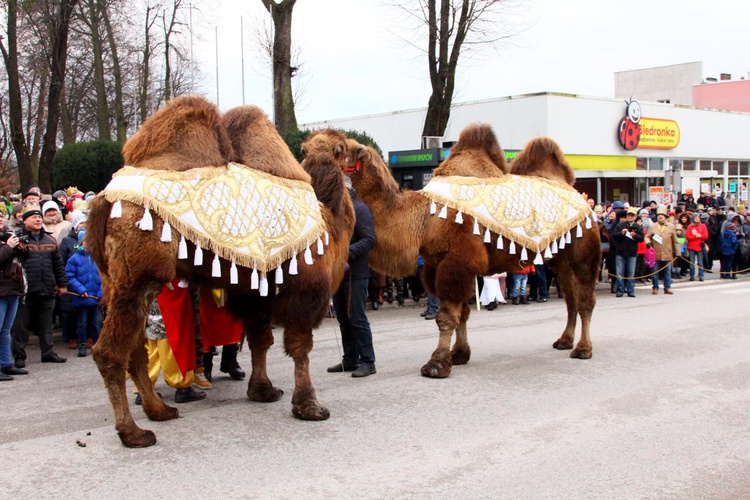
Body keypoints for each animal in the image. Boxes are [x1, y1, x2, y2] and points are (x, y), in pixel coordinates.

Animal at [86, 95, 352, 448]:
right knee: (110, 353)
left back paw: (159, 411)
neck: (329, 221)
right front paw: (309, 406)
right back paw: (134, 432)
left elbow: (260, 340)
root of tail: (104, 199)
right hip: (137, 278)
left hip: (114, 281)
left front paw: (263, 391)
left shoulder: (255, 291)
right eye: (346, 150)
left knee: (134, 351)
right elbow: (299, 348)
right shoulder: (304, 289)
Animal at [350, 125, 604, 378]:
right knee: (570, 297)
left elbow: (446, 317)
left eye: (343, 148)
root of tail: (581, 198)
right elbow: (462, 313)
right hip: (560, 257)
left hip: (585, 250)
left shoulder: (456, 261)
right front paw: (459, 354)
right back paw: (565, 341)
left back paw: (583, 349)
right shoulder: (439, 264)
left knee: (585, 299)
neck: (424, 217)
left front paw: (437, 364)